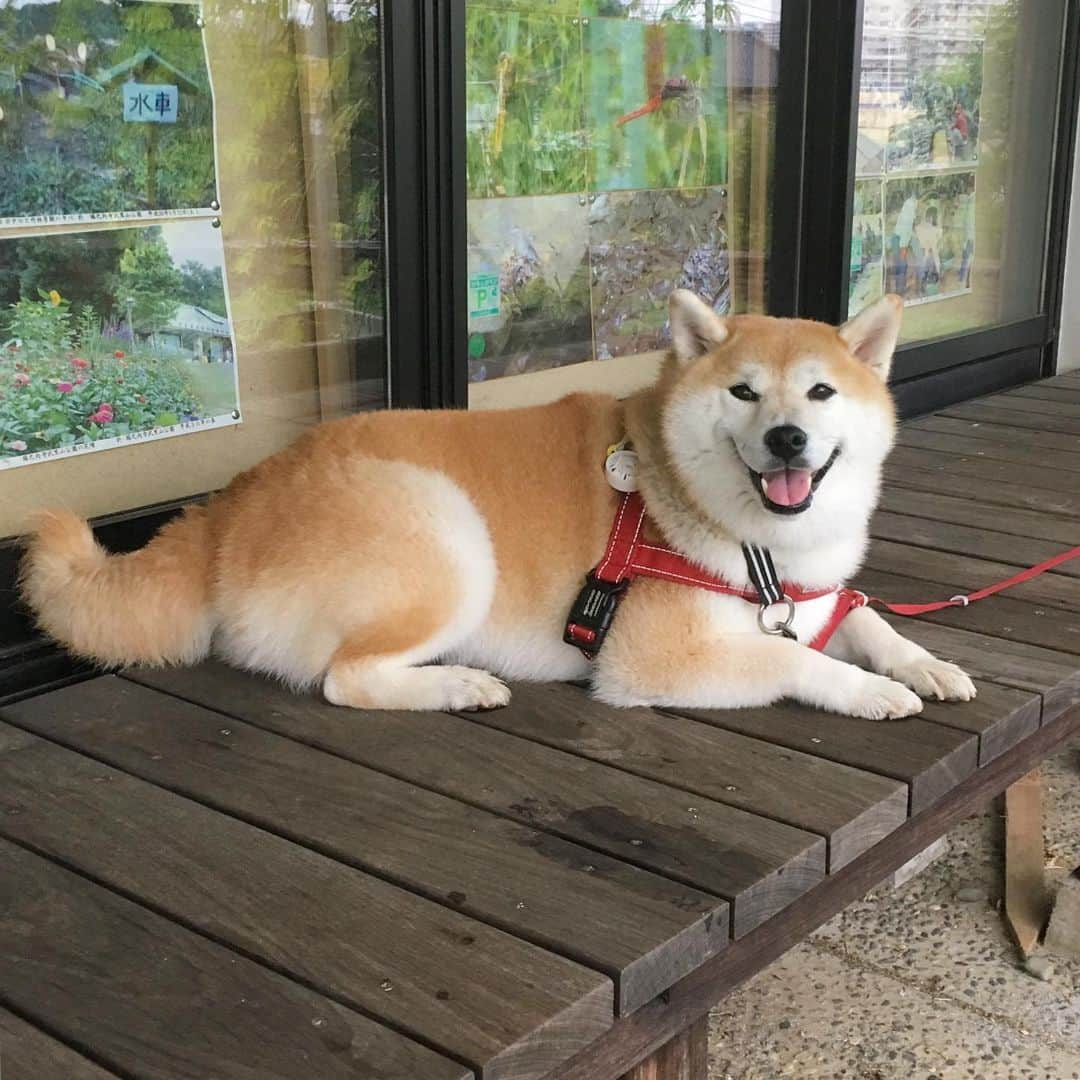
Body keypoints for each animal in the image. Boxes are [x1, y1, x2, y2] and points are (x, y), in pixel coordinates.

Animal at [21, 291, 976, 721]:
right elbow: (792, 660)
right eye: (743, 392)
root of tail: (233, 500)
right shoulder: (650, 662)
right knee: (346, 679)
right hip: (448, 538)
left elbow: (866, 618)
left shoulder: (810, 597)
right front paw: (866, 690)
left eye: (819, 393)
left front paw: (923, 664)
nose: (785, 440)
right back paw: (455, 683)